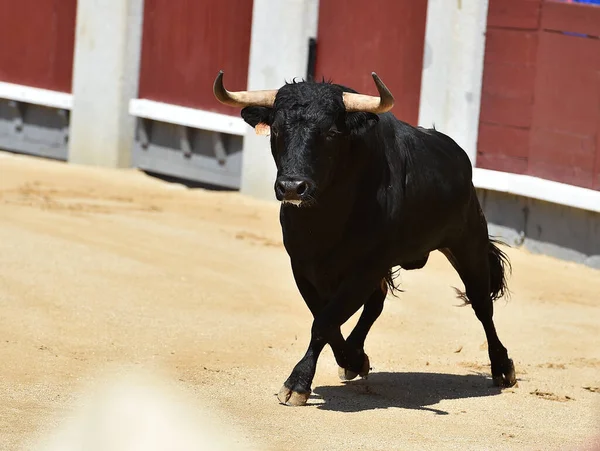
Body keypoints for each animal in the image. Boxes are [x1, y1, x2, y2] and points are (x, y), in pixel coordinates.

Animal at [212, 70, 516, 406]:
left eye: (332, 131)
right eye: (276, 129)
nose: (292, 187)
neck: (326, 215)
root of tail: (458, 155)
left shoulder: (366, 268)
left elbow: (324, 322)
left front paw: (297, 384)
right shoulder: (303, 267)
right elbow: (326, 318)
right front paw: (353, 360)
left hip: (468, 242)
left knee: (481, 304)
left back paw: (502, 368)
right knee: (376, 302)